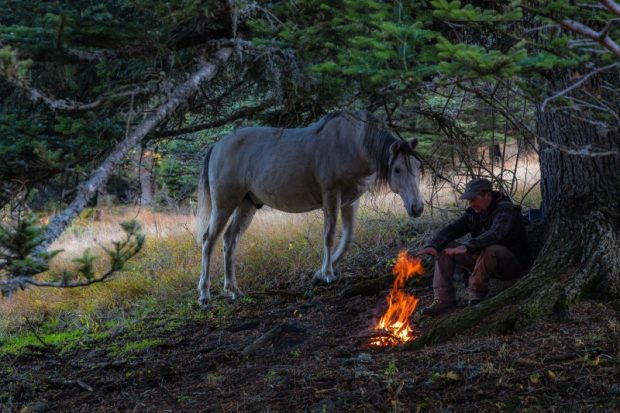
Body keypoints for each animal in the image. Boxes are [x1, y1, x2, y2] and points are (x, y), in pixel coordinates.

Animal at [196, 109, 424, 302]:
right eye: (397, 169)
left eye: (418, 166)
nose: (417, 207)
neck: (352, 145)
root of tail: (217, 146)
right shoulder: (331, 196)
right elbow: (329, 235)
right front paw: (328, 274)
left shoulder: (350, 202)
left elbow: (347, 239)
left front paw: (318, 274)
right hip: (224, 204)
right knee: (209, 240)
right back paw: (204, 294)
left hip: (247, 205)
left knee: (230, 241)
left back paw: (233, 290)